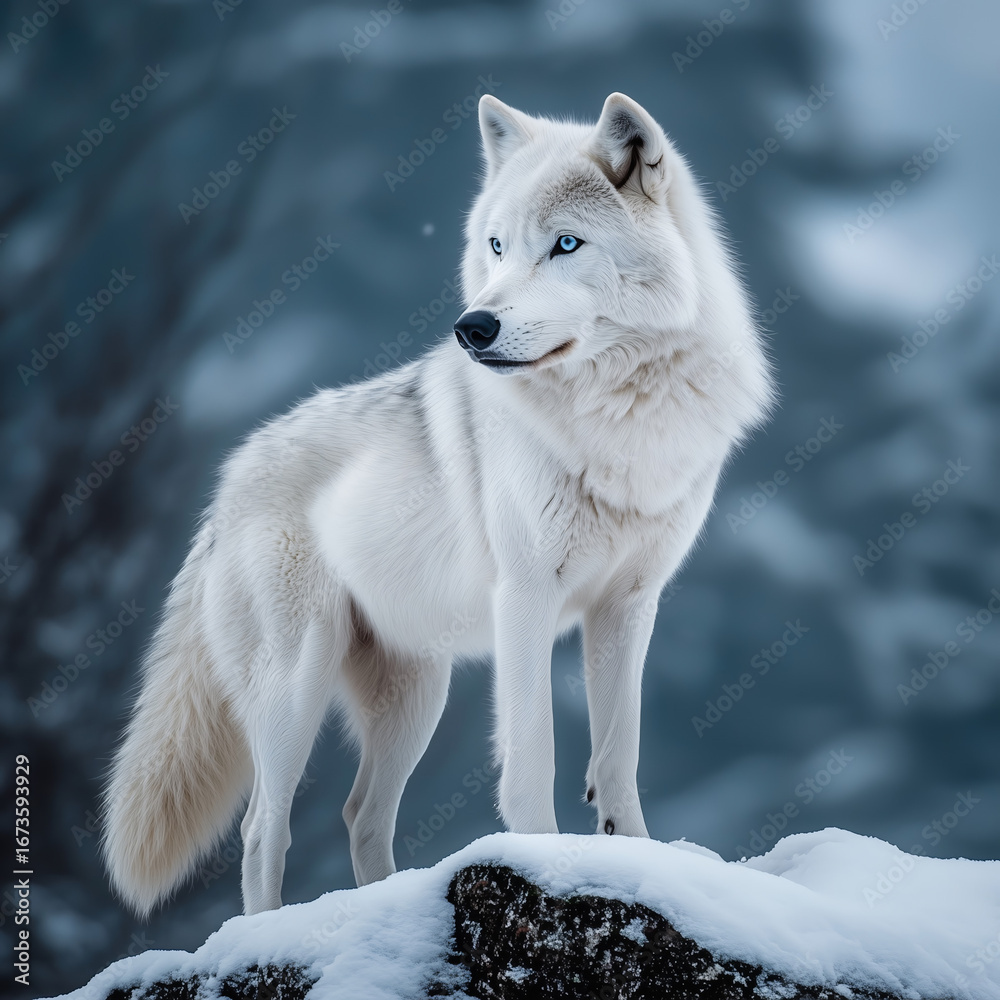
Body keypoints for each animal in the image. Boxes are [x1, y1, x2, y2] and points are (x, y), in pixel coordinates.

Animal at [103, 92, 775, 916]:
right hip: (296, 687)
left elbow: (619, 754)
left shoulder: (630, 603)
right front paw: (544, 859)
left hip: (417, 697)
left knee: (359, 814)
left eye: (566, 245)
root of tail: (225, 488)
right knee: (263, 829)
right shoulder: (524, 597)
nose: (472, 328)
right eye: (496, 245)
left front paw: (641, 857)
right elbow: (532, 755)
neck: (619, 415)